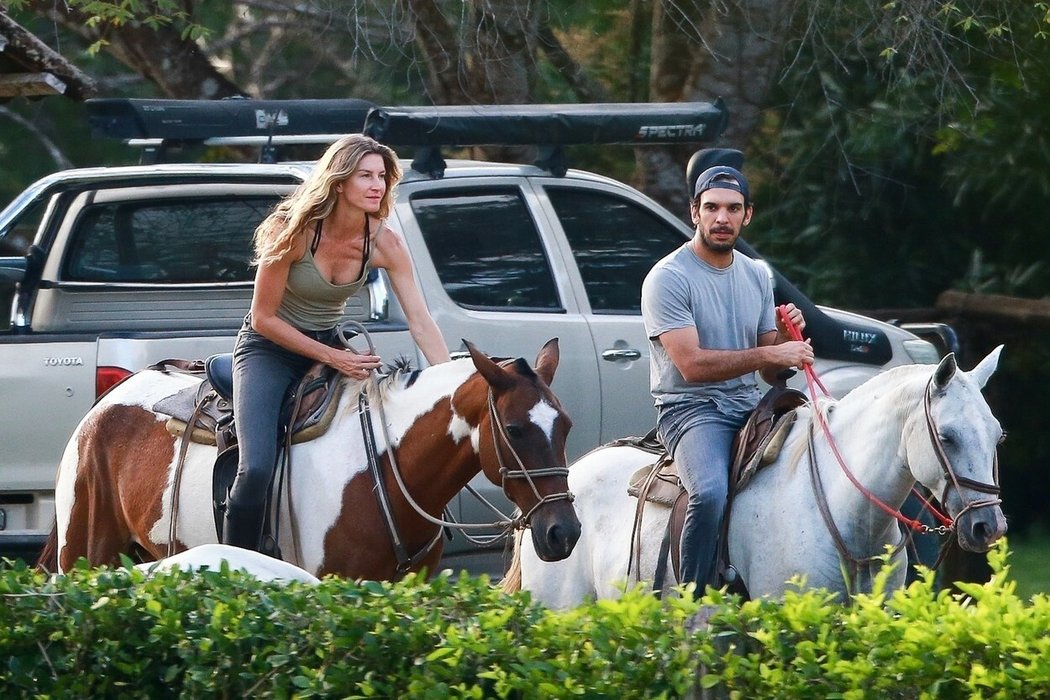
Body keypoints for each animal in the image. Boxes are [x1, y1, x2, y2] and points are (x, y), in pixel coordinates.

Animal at [38, 340, 583, 579]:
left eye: (565, 426)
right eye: (515, 430)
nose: (564, 533)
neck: (385, 471)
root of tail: (102, 407)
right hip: (83, 554)